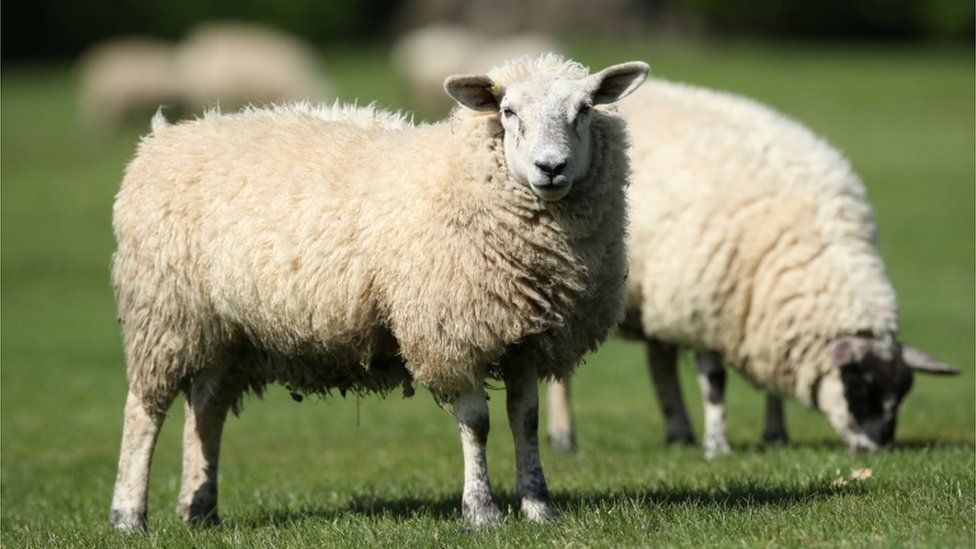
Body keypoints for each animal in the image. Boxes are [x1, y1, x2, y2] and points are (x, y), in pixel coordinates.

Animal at [108, 54, 649, 530]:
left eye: (584, 109)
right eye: (508, 111)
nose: (550, 167)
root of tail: (163, 138)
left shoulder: (526, 337)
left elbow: (526, 420)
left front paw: (538, 507)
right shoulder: (450, 331)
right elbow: (476, 423)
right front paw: (481, 513)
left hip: (227, 329)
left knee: (206, 409)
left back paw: (198, 509)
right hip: (162, 312)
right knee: (143, 411)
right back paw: (128, 515)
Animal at [546, 77, 959, 457]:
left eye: (901, 393)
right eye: (858, 385)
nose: (877, 450)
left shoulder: (757, 313)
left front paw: (774, 435)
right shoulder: (706, 307)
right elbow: (714, 382)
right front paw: (718, 446)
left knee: (660, 362)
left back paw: (679, 433)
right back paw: (563, 439)